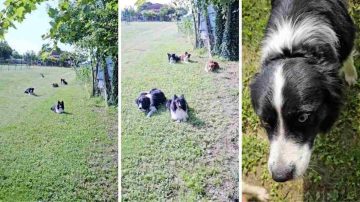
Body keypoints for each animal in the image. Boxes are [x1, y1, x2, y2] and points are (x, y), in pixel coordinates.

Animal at [250, 0, 358, 183]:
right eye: (265, 121)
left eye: (303, 118)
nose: (280, 176)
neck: (292, 49)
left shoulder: (347, 34)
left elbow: (349, 56)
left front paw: (351, 74)